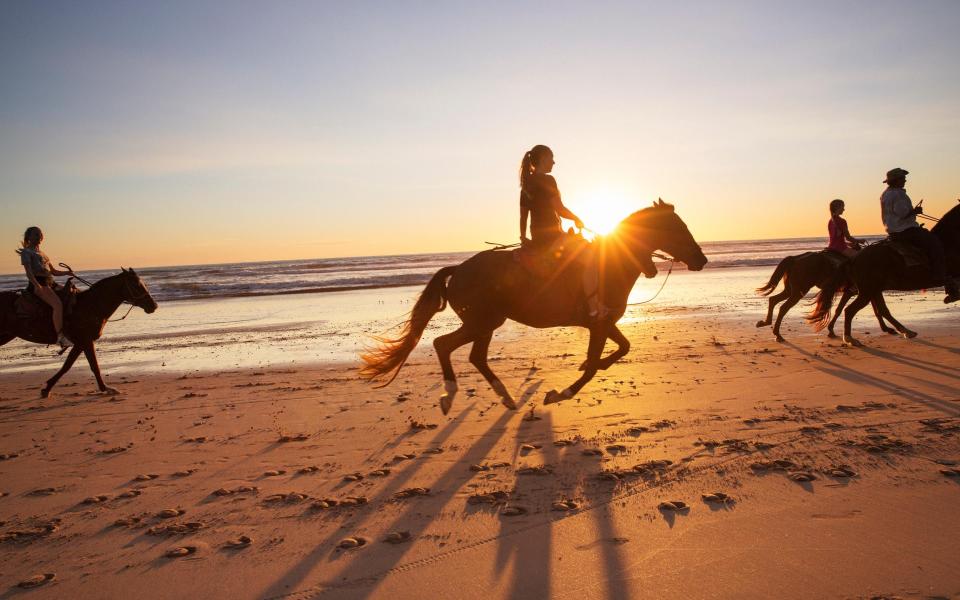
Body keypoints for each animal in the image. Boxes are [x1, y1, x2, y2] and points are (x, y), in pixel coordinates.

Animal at [0, 268, 158, 398]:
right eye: (136, 285)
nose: (154, 306)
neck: (91, 306)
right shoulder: (85, 341)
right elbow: (87, 366)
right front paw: (106, 389)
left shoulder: (82, 343)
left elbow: (75, 365)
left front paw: (47, 388)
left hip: (6, 335)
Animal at [360, 200, 704, 412]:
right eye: (677, 228)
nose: (701, 259)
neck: (614, 262)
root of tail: (458, 270)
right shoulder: (598, 324)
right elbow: (595, 365)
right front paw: (560, 393)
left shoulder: (604, 323)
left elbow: (623, 348)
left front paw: (589, 365)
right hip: (482, 322)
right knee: (443, 344)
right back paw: (451, 395)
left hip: (486, 324)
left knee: (474, 356)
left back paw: (506, 397)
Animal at [756, 250, 900, 342]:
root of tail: (795, 258)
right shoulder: (863, 291)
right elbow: (876, 310)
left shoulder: (860, 292)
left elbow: (843, 309)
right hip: (798, 292)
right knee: (783, 307)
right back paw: (777, 334)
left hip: (791, 290)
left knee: (773, 300)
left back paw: (766, 323)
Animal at [808, 204, 960, 346]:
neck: (948, 242)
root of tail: (854, 258)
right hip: (867, 291)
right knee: (850, 310)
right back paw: (850, 338)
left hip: (873, 290)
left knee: (880, 310)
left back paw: (904, 331)